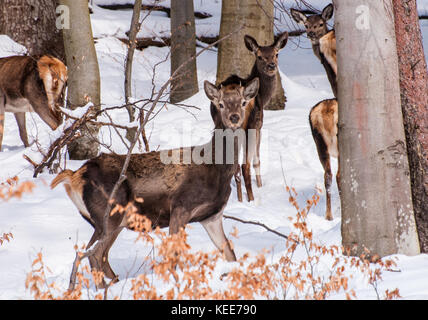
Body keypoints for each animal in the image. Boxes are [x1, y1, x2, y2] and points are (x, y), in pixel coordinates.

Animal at [51, 76, 260, 288]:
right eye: (221, 104)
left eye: (243, 102)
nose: (234, 117)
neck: (216, 170)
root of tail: (74, 176)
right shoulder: (181, 206)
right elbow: (174, 256)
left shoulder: (212, 216)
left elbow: (231, 255)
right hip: (109, 214)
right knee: (92, 255)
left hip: (110, 221)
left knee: (98, 255)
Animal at [212, 32, 290, 202]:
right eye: (259, 56)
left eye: (276, 54)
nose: (271, 66)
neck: (263, 96)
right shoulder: (259, 125)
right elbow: (257, 160)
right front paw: (260, 186)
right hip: (249, 126)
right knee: (244, 165)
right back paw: (251, 199)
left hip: (221, 125)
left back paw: (239, 199)